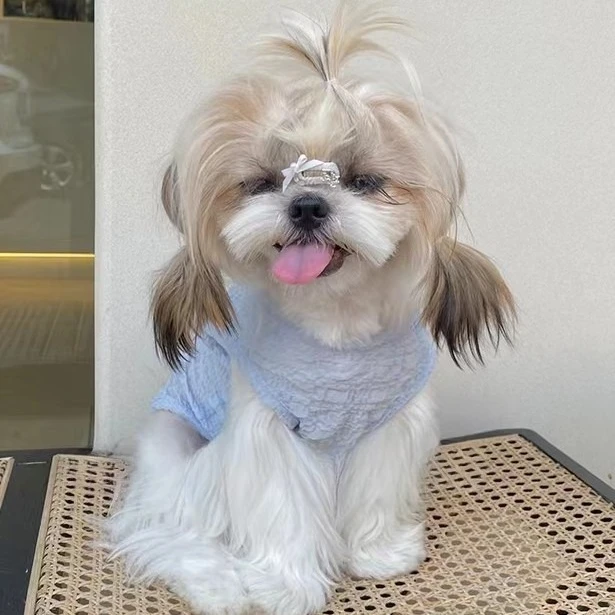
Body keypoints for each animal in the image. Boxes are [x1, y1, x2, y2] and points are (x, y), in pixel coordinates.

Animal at [108, 3, 515, 614]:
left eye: (365, 181)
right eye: (260, 183)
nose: (306, 203)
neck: (336, 329)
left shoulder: (388, 426)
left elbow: (376, 494)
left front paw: (378, 554)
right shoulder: (270, 435)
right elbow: (283, 512)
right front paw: (283, 586)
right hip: (178, 462)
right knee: (176, 537)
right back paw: (219, 586)